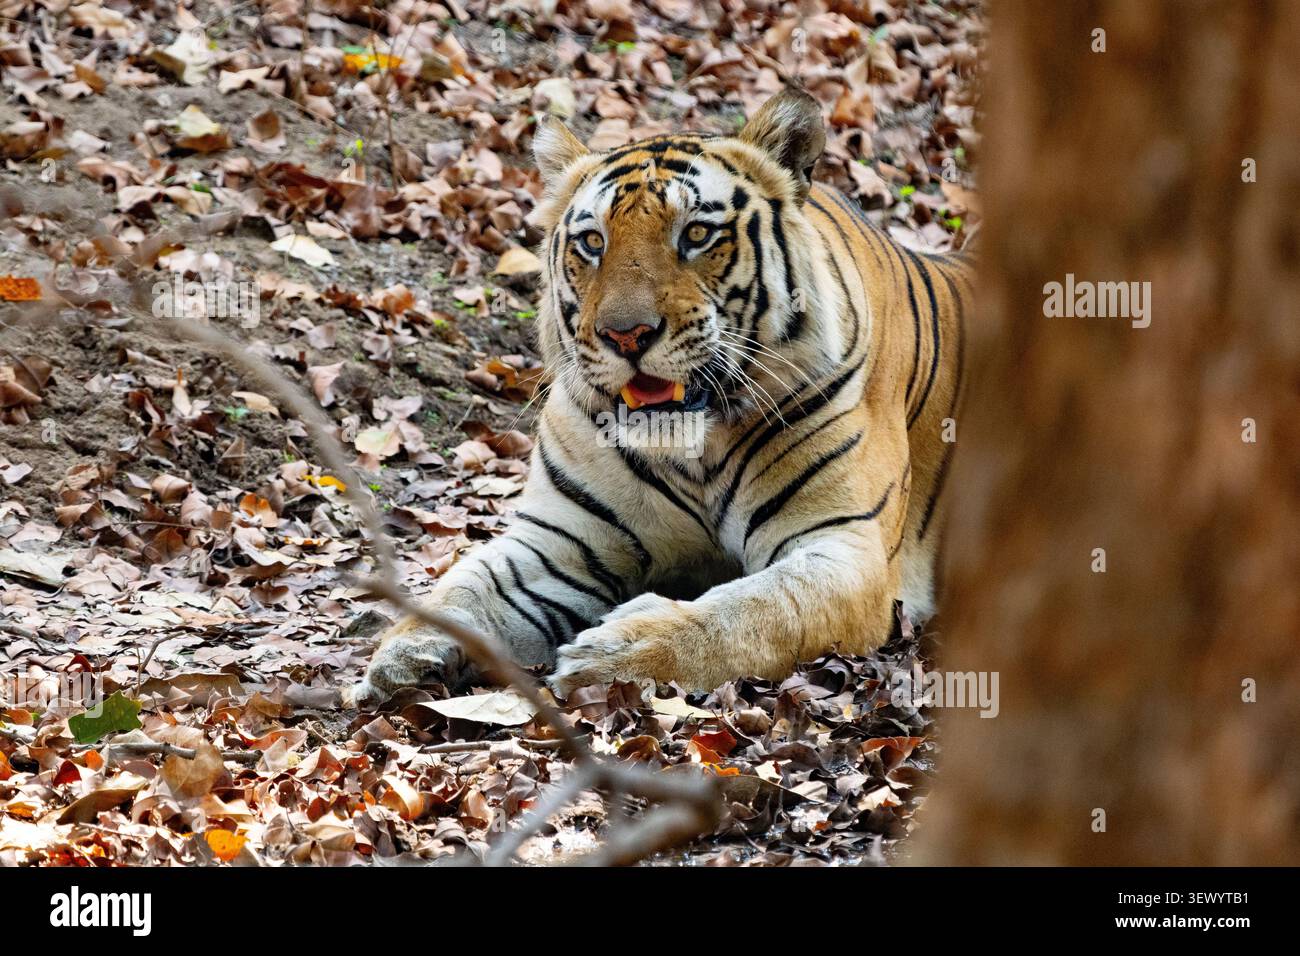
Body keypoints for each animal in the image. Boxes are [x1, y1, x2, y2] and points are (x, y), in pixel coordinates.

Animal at [350, 88, 972, 706]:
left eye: (696, 235)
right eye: (593, 242)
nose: (626, 335)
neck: (696, 452)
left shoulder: (844, 548)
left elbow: (752, 612)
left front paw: (615, 654)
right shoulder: (560, 539)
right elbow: (469, 584)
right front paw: (402, 653)